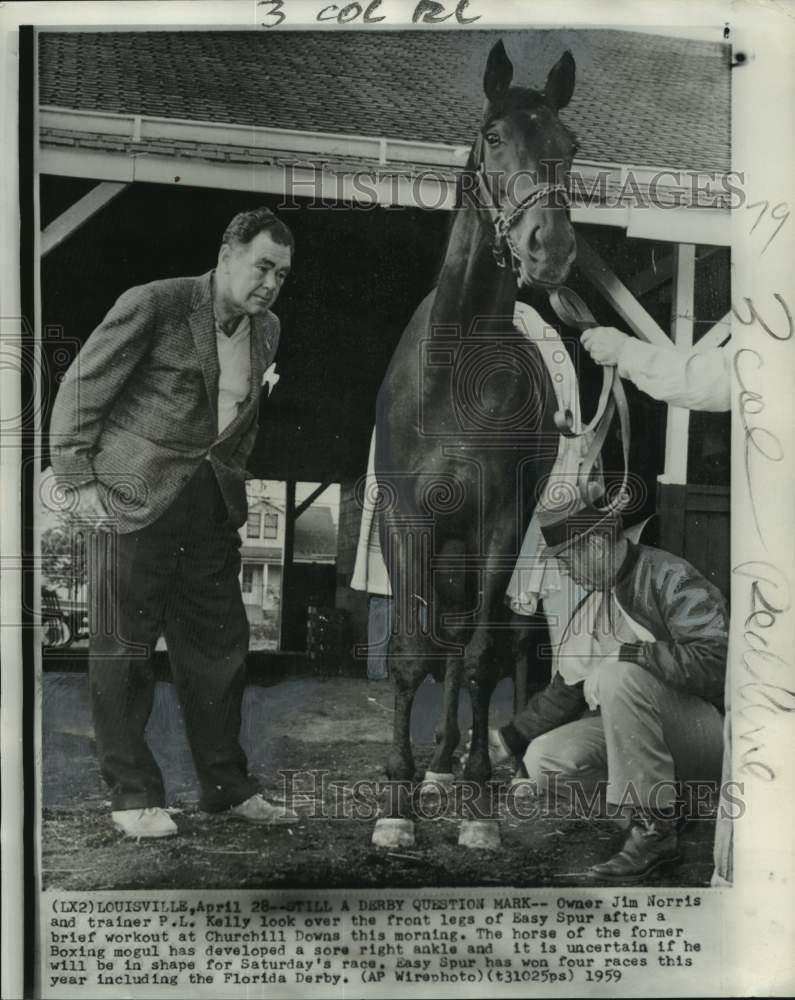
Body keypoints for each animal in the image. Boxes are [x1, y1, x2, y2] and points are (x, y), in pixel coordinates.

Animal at [370, 41, 580, 852]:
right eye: (494, 138)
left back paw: (479, 768)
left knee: (488, 647)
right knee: (445, 644)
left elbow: (485, 656)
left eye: (568, 146)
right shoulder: (409, 520)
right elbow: (411, 652)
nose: (549, 247)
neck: (454, 373)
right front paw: (397, 802)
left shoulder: (497, 524)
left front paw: (480, 804)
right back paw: (434, 766)